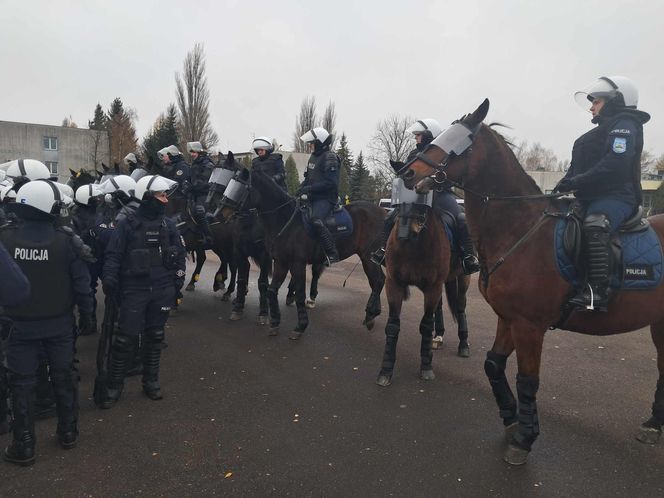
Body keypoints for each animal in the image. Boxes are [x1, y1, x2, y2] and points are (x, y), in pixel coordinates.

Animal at [220, 169, 384, 340]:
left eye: (240, 188)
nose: (221, 213)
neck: (286, 220)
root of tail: (383, 212)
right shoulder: (281, 262)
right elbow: (272, 290)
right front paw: (275, 322)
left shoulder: (297, 264)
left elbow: (299, 293)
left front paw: (300, 326)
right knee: (379, 281)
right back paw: (372, 314)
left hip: (368, 257)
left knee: (378, 281)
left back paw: (370, 314)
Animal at [402, 98, 664, 466]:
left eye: (458, 140)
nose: (408, 173)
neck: (520, 230)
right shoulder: (508, 319)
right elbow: (493, 364)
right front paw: (512, 421)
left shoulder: (530, 325)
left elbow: (528, 380)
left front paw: (524, 440)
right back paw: (654, 423)